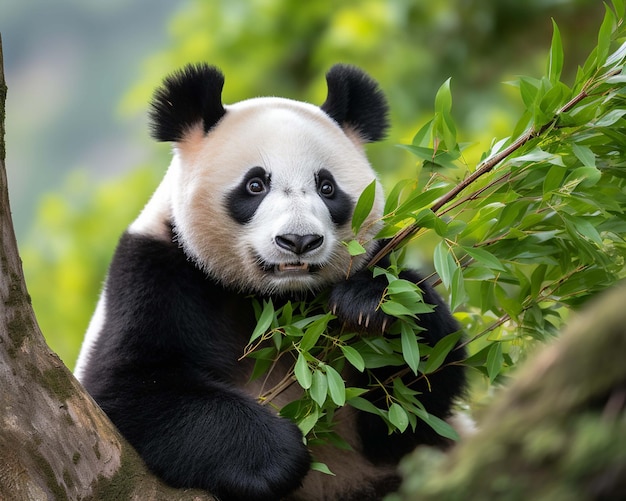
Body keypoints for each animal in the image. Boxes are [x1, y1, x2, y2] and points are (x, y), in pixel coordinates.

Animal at [74, 63, 464, 500]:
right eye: (255, 185)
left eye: (327, 187)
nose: (299, 241)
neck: (277, 301)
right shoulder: (158, 272)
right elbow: (129, 386)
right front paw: (274, 455)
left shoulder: (380, 257)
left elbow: (413, 402)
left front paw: (372, 303)